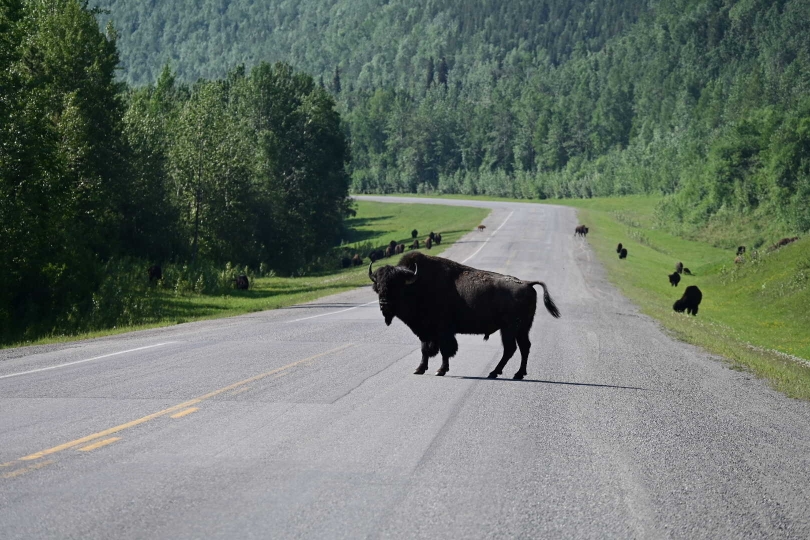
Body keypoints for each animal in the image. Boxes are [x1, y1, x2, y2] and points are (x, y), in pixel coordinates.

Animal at [370, 253, 560, 380]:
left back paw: (496, 373)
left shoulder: (443, 332)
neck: (417, 285)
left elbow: (445, 350)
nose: (384, 304)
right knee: (523, 347)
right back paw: (516, 374)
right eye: (378, 286)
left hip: (510, 329)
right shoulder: (425, 331)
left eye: (396, 286)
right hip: (521, 329)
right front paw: (419, 369)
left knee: (511, 348)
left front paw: (440, 370)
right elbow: (425, 349)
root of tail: (527, 284)